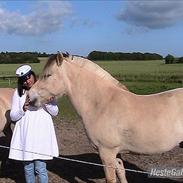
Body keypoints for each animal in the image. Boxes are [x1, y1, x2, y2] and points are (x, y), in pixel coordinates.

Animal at [28, 52, 183, 182]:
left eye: (48, 75)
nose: (30, 97)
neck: (101, 104)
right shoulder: (115, 155)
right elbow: (121, 173)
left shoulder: (106, 153)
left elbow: (111, 179)